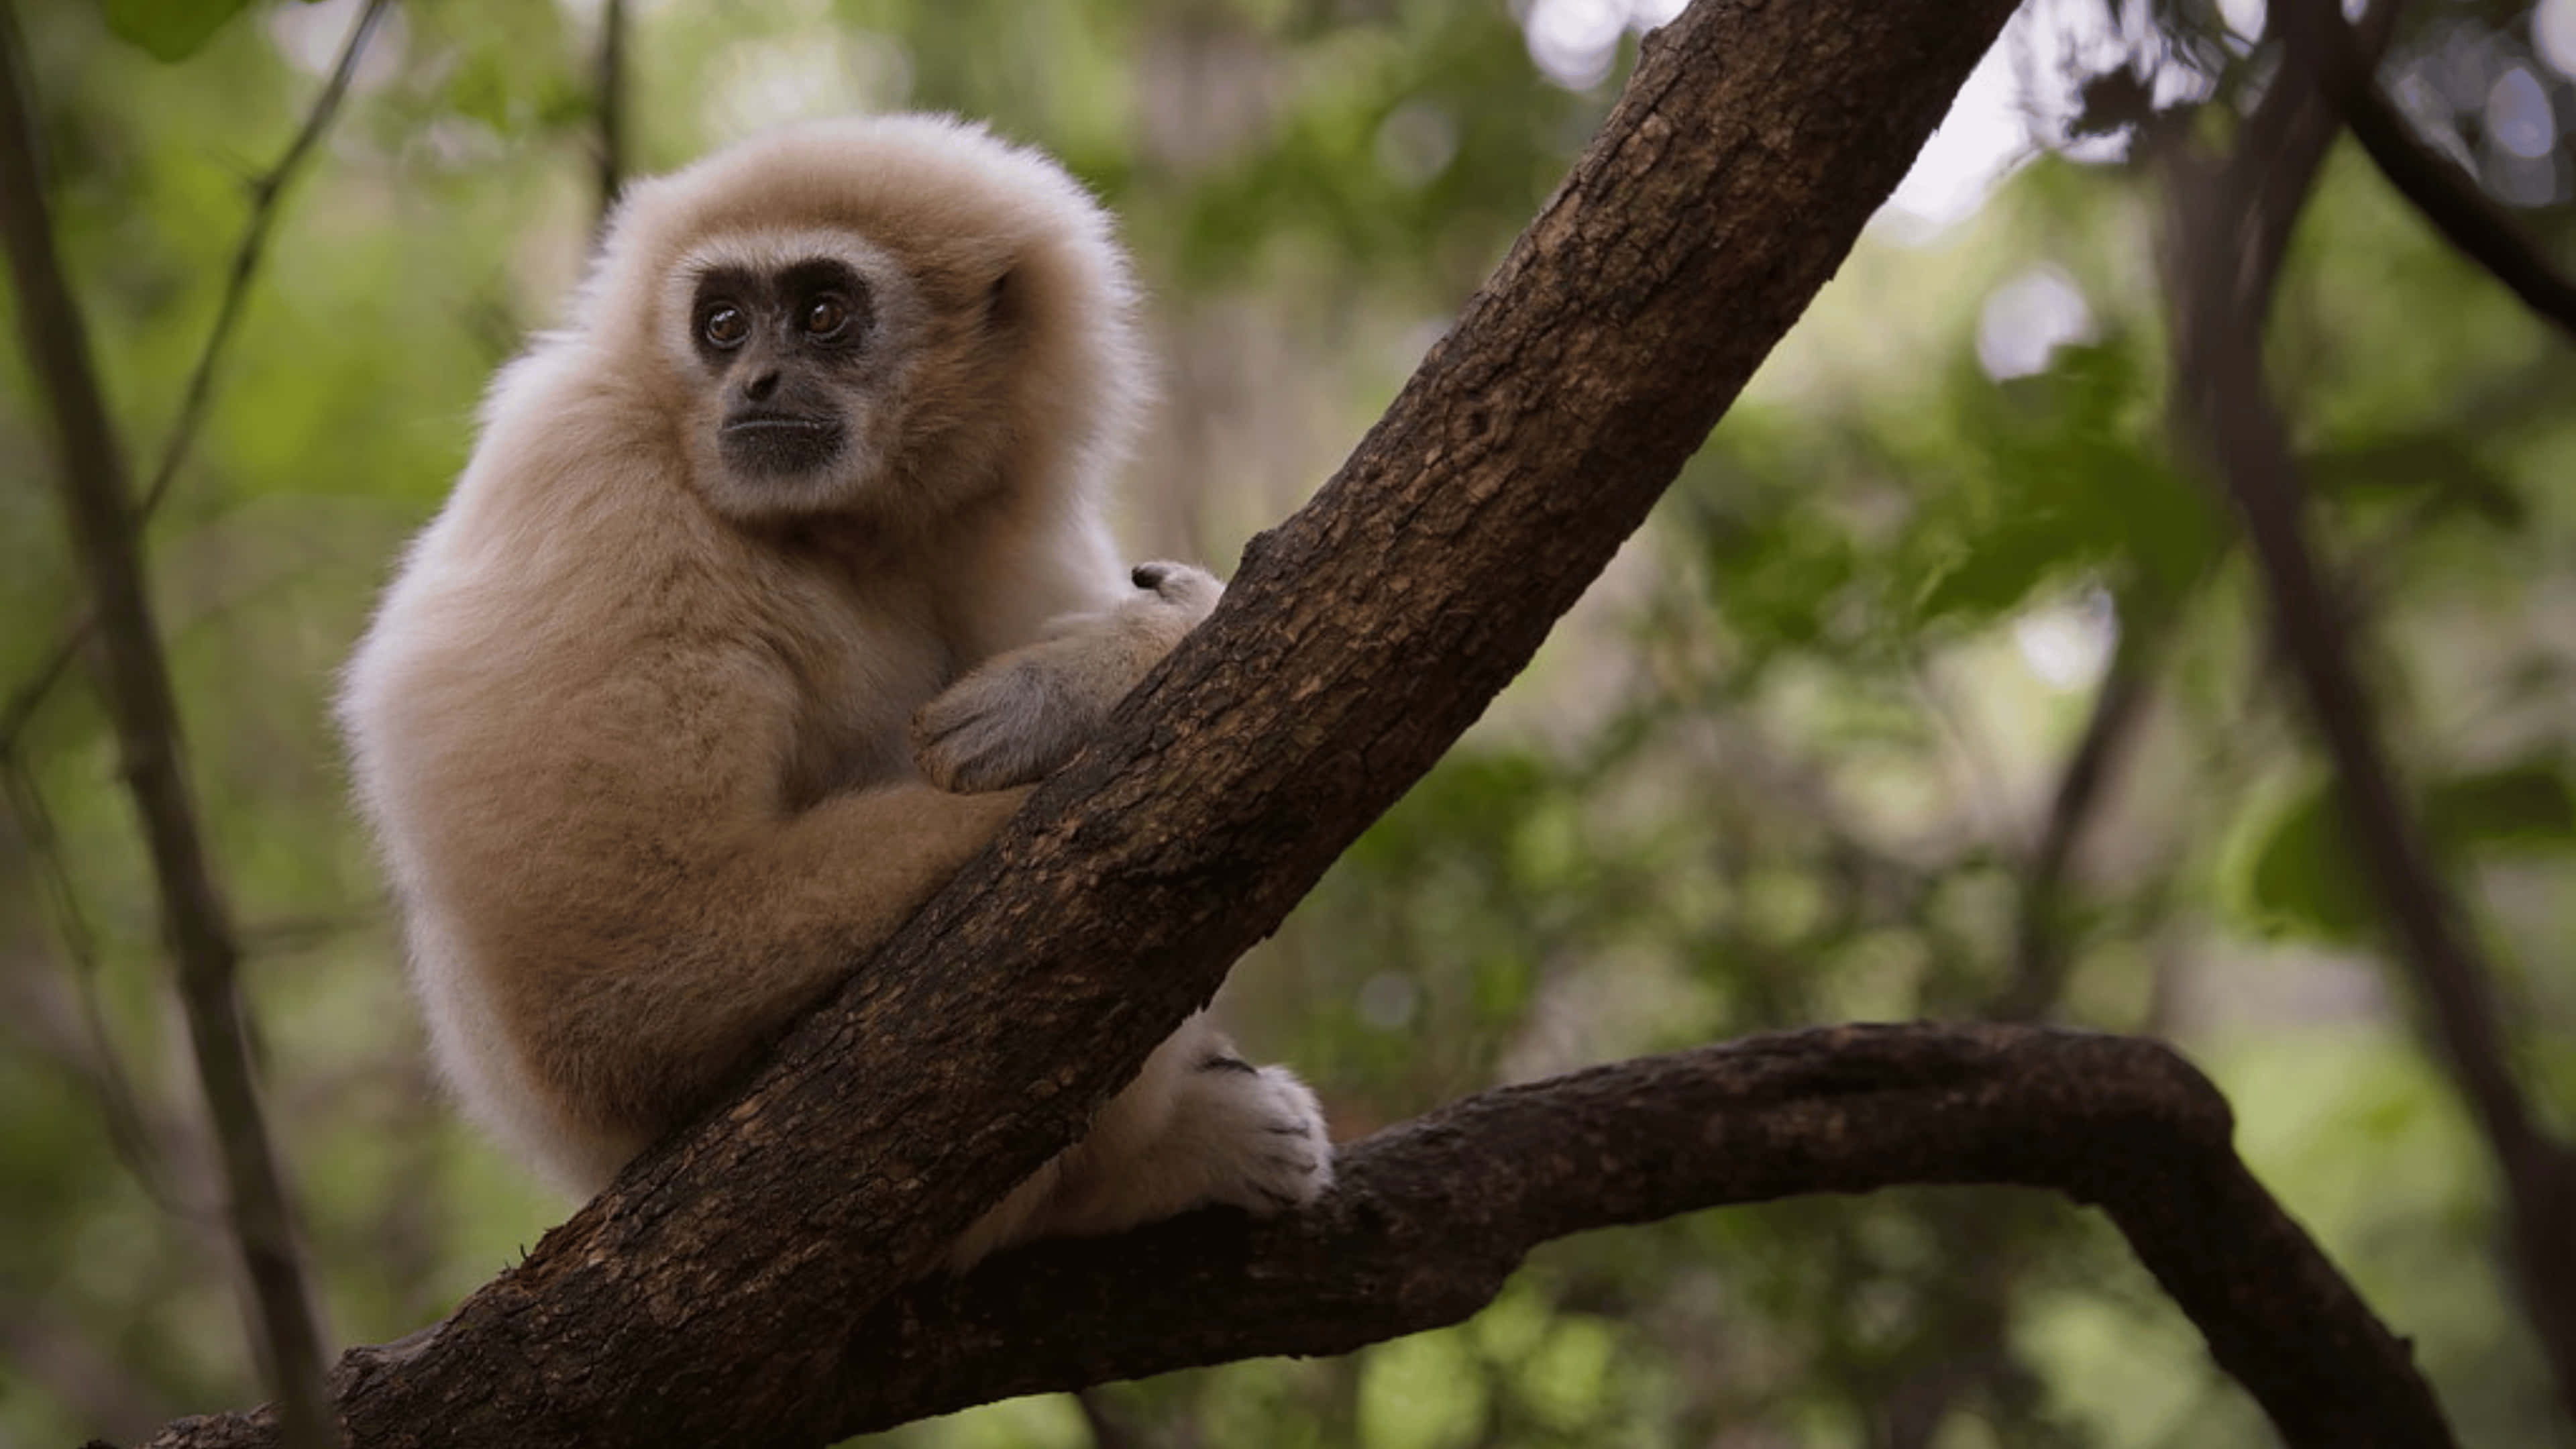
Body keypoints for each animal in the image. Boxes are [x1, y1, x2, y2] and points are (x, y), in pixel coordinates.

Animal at [337, 114, 1331, 1268]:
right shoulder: (585, 480)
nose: (760, 380)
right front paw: (1114, 677)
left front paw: (1081, 676)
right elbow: (621, 966)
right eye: (722, 325)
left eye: (822, 315)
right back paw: (1155, 1165)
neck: (844, 530)